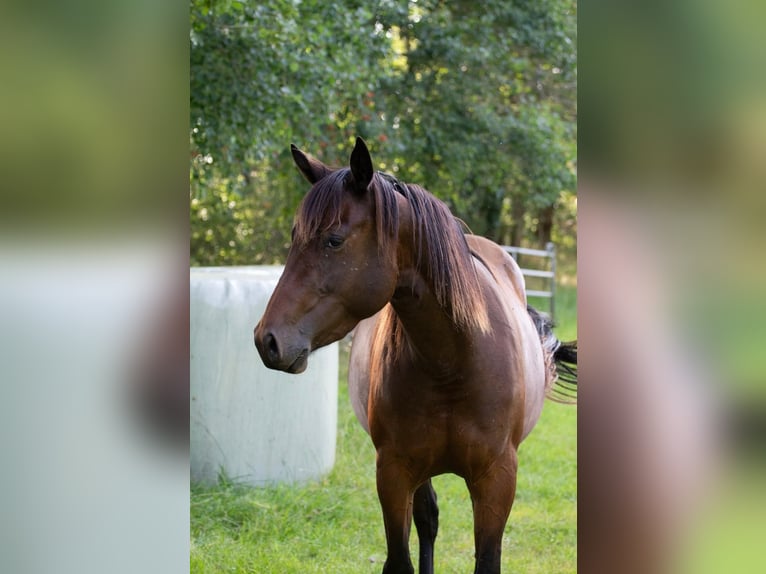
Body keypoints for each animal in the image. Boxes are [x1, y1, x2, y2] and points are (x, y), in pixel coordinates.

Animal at [255, 137, 580, 572]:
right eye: (294, 237)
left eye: (334, 240)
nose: (267, 339)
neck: (452, 362)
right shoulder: (394, 474)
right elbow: (401, 557)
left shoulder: (497, 479)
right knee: (428, 521)